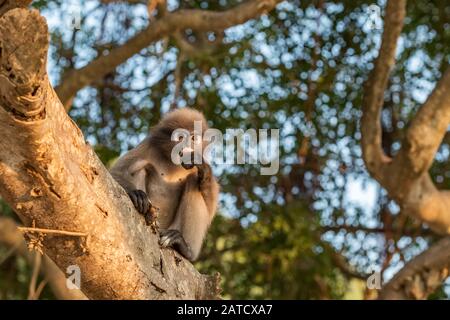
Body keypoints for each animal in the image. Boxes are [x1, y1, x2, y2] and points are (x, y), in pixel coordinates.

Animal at [110, 107, 220, 260]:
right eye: (180, 138)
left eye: (193, 139)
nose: (186, 145)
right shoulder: (147, 146)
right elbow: (117, 172)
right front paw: (136, 193)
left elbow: (210, 208)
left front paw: (203, 168)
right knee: (141, 168)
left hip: (173, 227)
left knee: (193, 180)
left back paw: (185, 249)